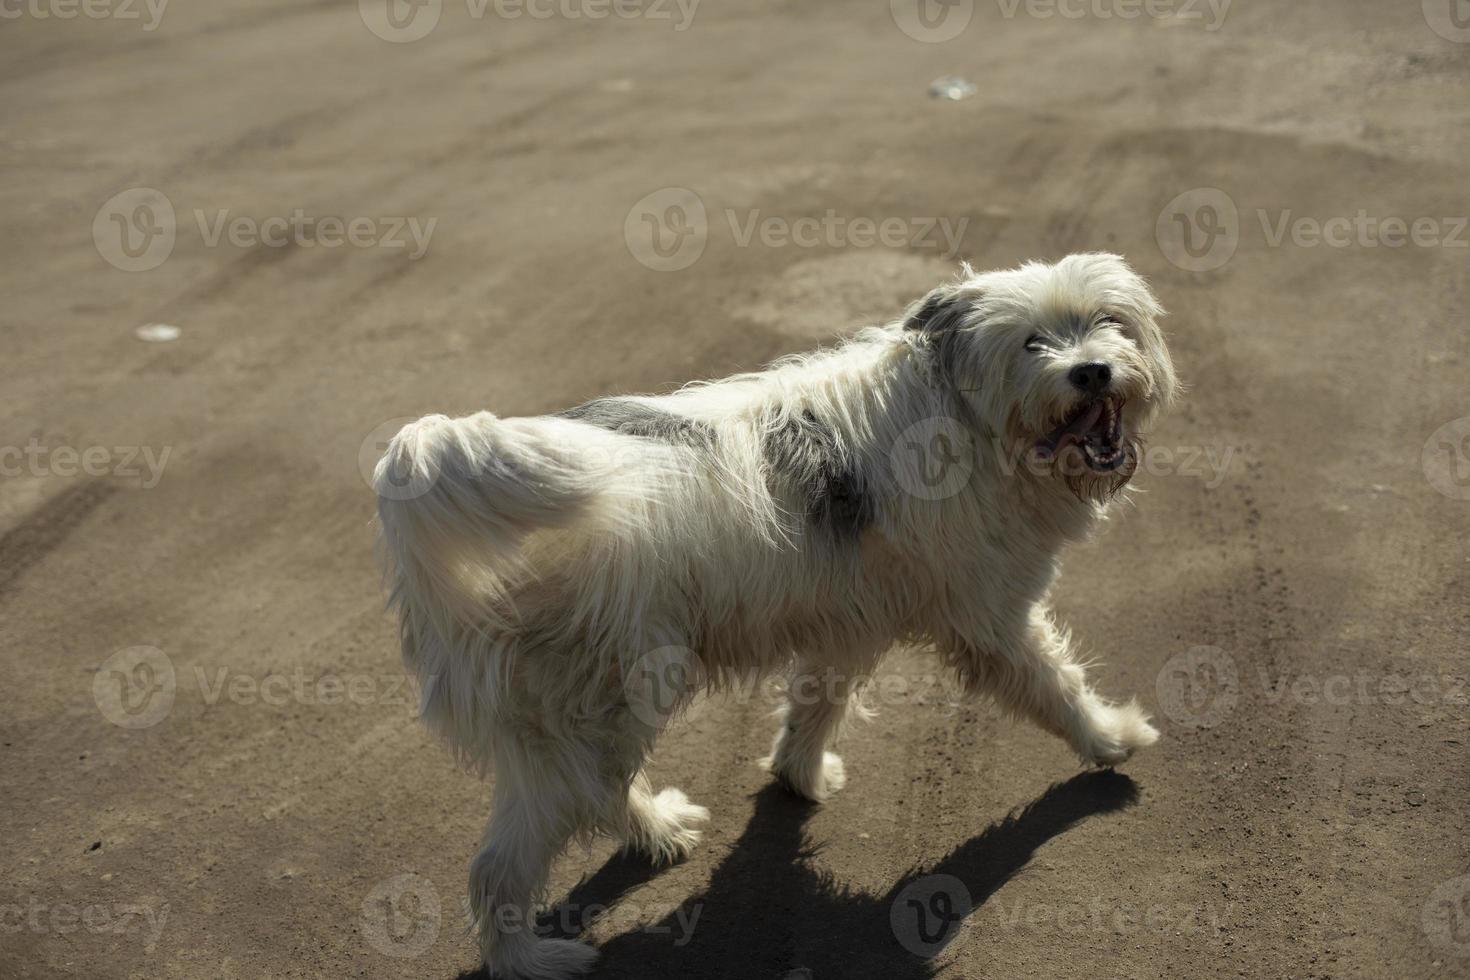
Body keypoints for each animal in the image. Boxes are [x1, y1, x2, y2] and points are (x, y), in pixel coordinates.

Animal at [373, 255, 1176, 980]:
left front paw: (799, 775)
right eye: (1031, 343)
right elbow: (1055, 685)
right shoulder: (991, 620)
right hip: (598, 700)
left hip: (586, 714)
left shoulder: (848, 622)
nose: (1092, 373)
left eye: (1106, 322)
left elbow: (816, 707)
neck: (970, 419)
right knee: (500, 864)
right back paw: (531, 960)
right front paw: (1111, 738)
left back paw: (659, 832)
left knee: (592, 794)